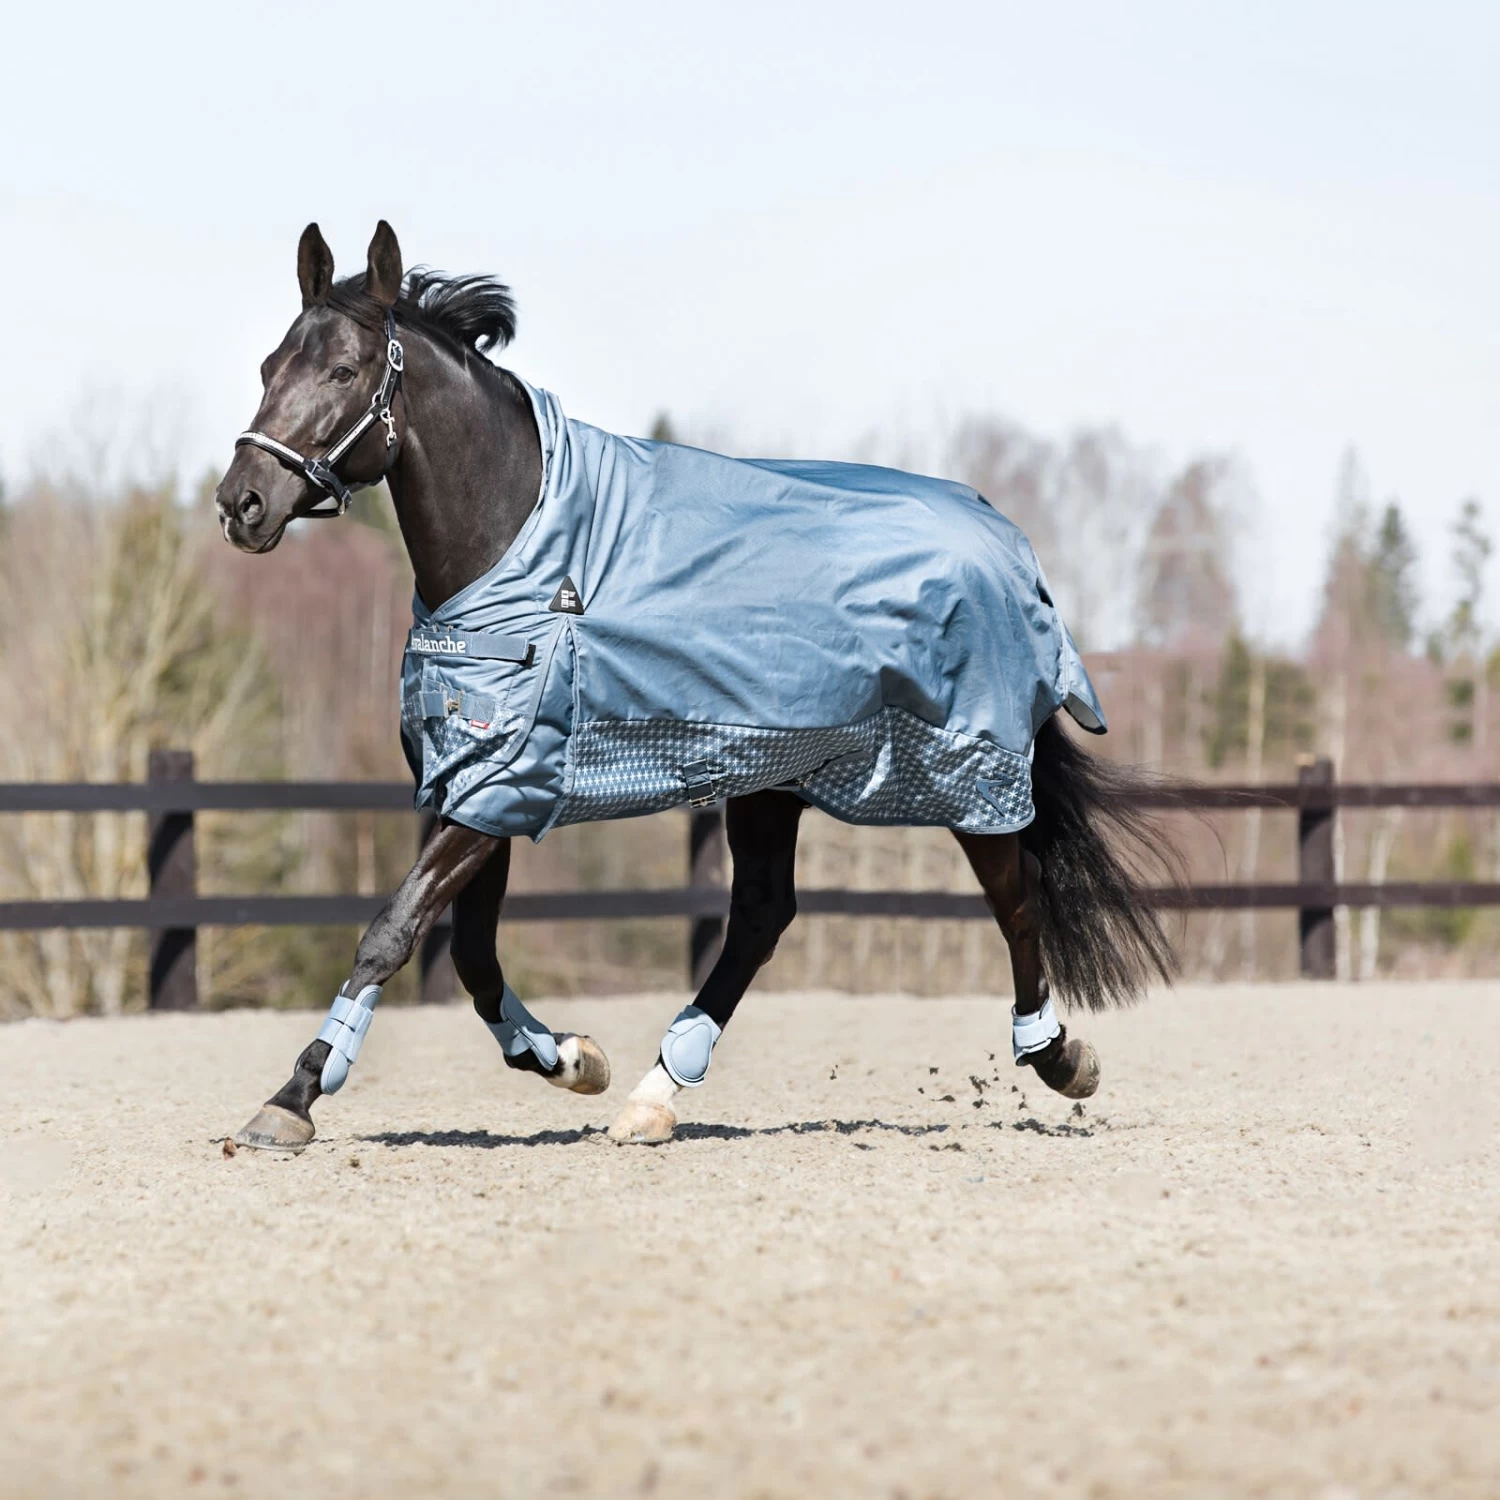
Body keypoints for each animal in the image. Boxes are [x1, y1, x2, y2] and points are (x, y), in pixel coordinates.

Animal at [217, 221, 1176, 1153]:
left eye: (343, 371)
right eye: (268, 366)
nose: (242, 503)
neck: (526, 550)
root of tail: (1004, 540)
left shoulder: (501, 785)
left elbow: (393, 932)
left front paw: (292, 1098)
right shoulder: (479, 786)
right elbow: (471, 955)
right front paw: (573, 1059)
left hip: (965, 767)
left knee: (1013, 894)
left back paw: (1060, 1058)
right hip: (774, 777)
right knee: (760, 917)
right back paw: (652, 1094)